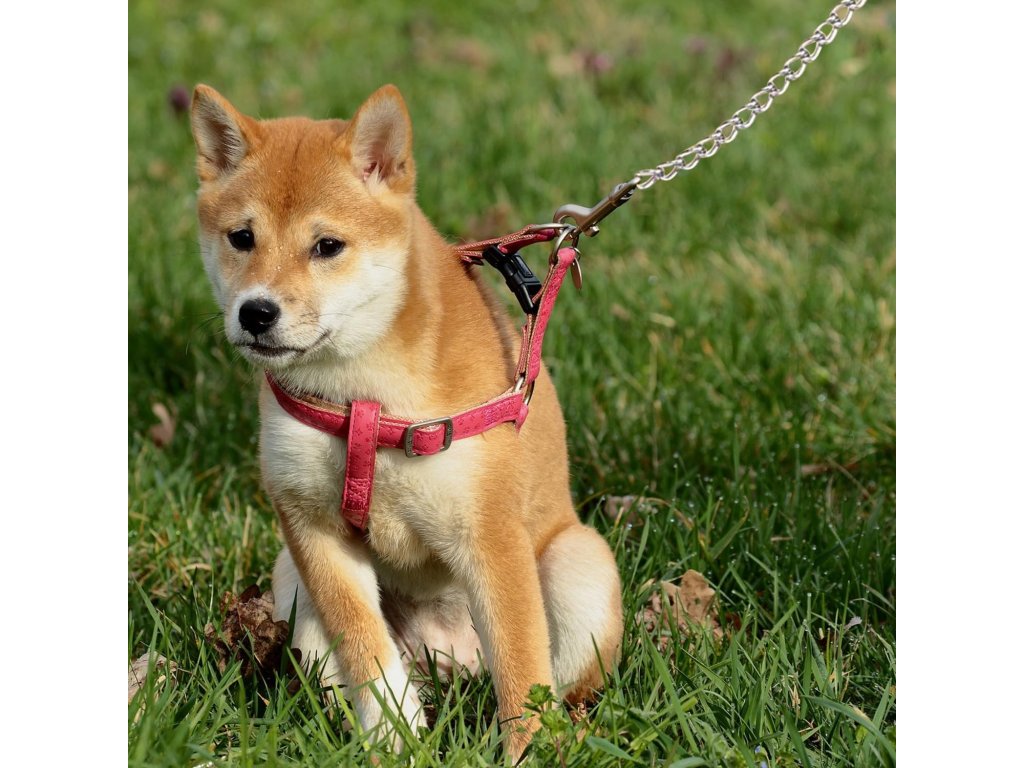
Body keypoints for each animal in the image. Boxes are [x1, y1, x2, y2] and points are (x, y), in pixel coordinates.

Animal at [190, 83, 623, 760]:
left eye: (327, 246)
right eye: (241, 237)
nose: (256, 313)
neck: (362, 396)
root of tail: (451, 663)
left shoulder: (489, 535)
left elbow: (524, 672)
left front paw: (528, 754)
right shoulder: (311, 529)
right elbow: (367, 654)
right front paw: (394, 740)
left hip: (578, 567)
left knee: (559, 683)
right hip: (292, 588)